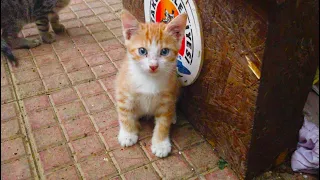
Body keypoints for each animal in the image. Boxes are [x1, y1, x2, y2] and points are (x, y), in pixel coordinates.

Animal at [115, 9, 188, 158]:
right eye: (142, 51)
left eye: (164, 51)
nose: (153, 66)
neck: (149, 79)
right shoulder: (123, 91)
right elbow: (124, 113)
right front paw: (127, 134)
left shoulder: (167, 97)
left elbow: (163, 122)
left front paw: (161, 144)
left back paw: (173, 115)